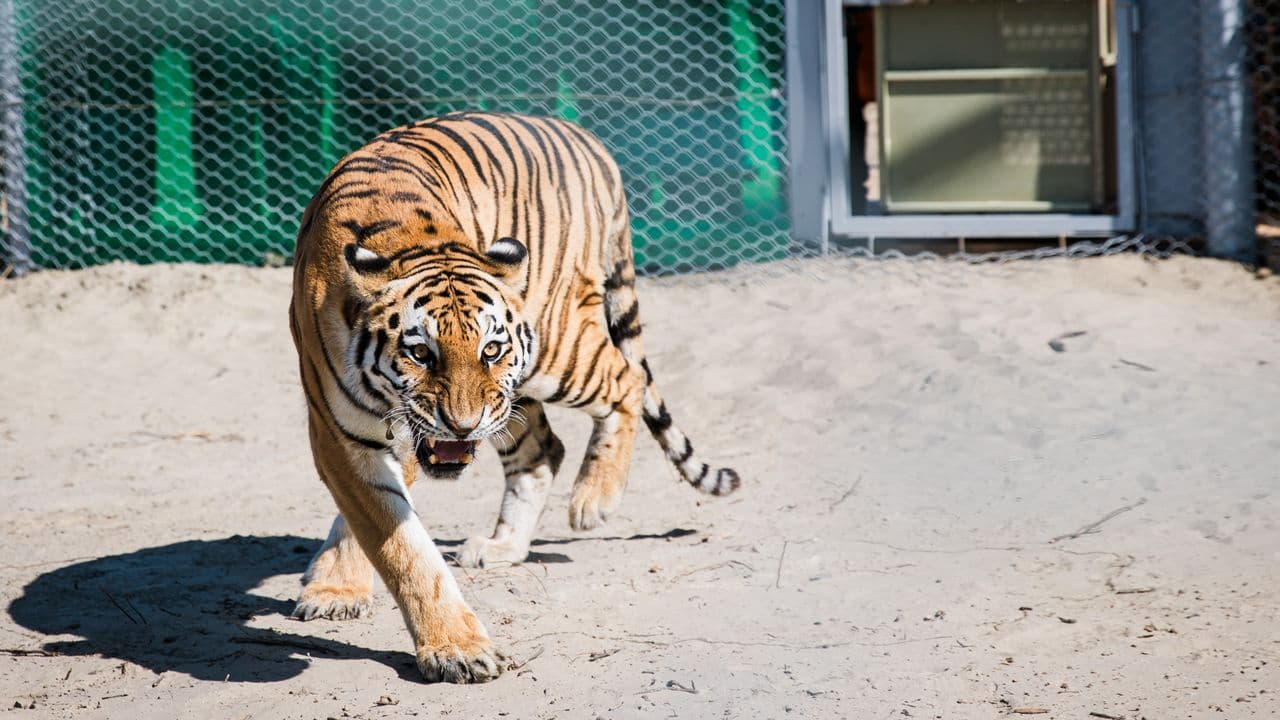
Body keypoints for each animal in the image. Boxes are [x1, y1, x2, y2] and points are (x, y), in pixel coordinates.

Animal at [287, 111, 740, 684]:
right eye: (421, 353)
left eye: (490, 349)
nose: (461, 426)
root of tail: (587, 139)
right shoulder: (341, 434)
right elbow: (394, 540)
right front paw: (343, 591)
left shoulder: (399, 434)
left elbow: (395, 542)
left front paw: (453, 649)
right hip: (514, 394)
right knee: (544, 448)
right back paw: (504, 545)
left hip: (554, 349)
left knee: (626, 380)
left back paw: (594, 499)